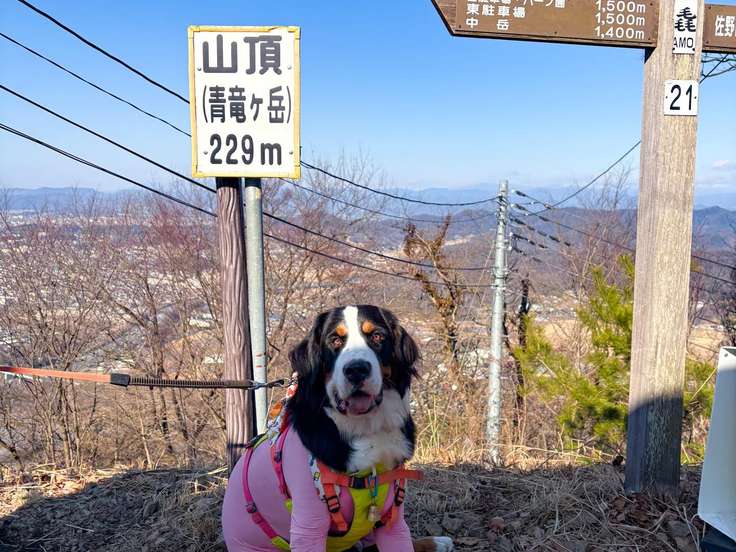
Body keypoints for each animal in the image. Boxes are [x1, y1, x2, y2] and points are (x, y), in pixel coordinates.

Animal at [222, 305, 454, 552]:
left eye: (377, 336)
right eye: (334, 340)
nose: (357, 369)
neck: (366, 428)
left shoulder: (393, 517)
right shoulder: (308, 525)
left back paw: (436, 541)